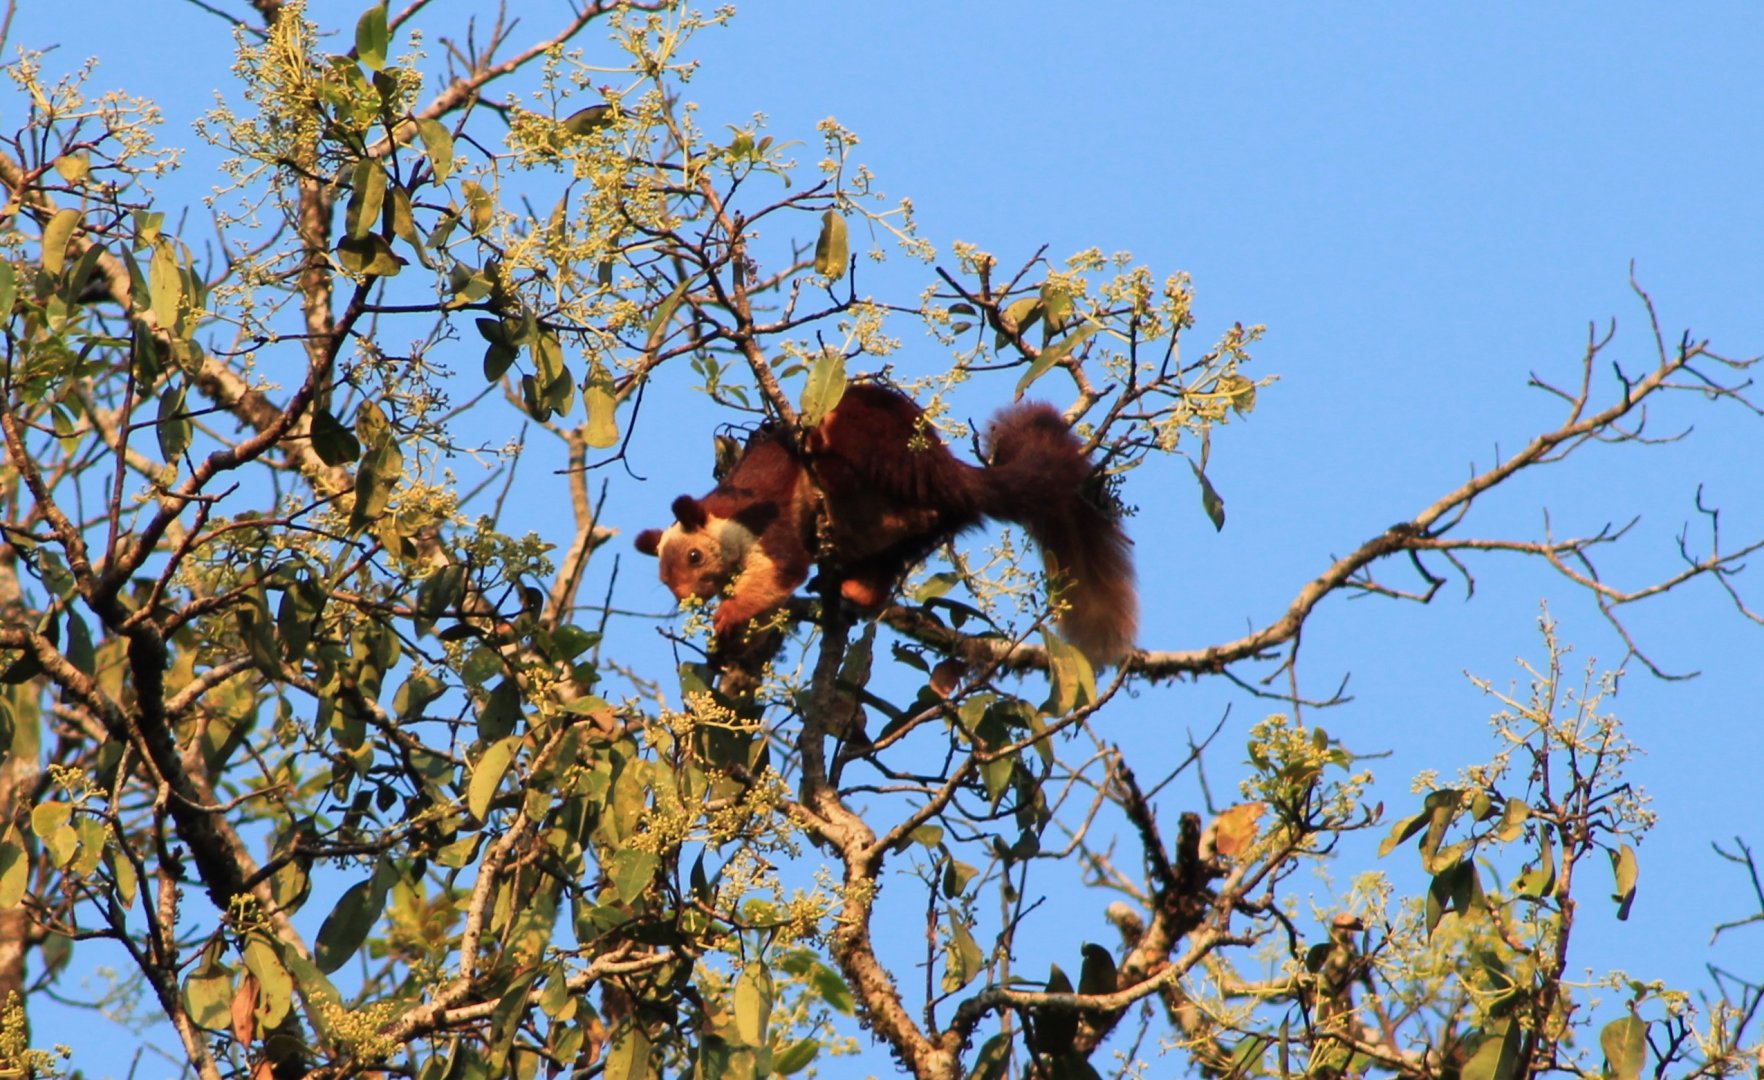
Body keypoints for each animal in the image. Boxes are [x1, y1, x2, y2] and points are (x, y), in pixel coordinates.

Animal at [634, 382, 1137, 665]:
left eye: (694, 556)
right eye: (663, 578)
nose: (685, 598)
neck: (729, 515)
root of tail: (948, 476)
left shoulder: (771, 525)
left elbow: (782, 572)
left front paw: (729, 614)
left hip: (871, 445)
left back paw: (820, 456)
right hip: (911, 526)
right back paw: (853, 588)